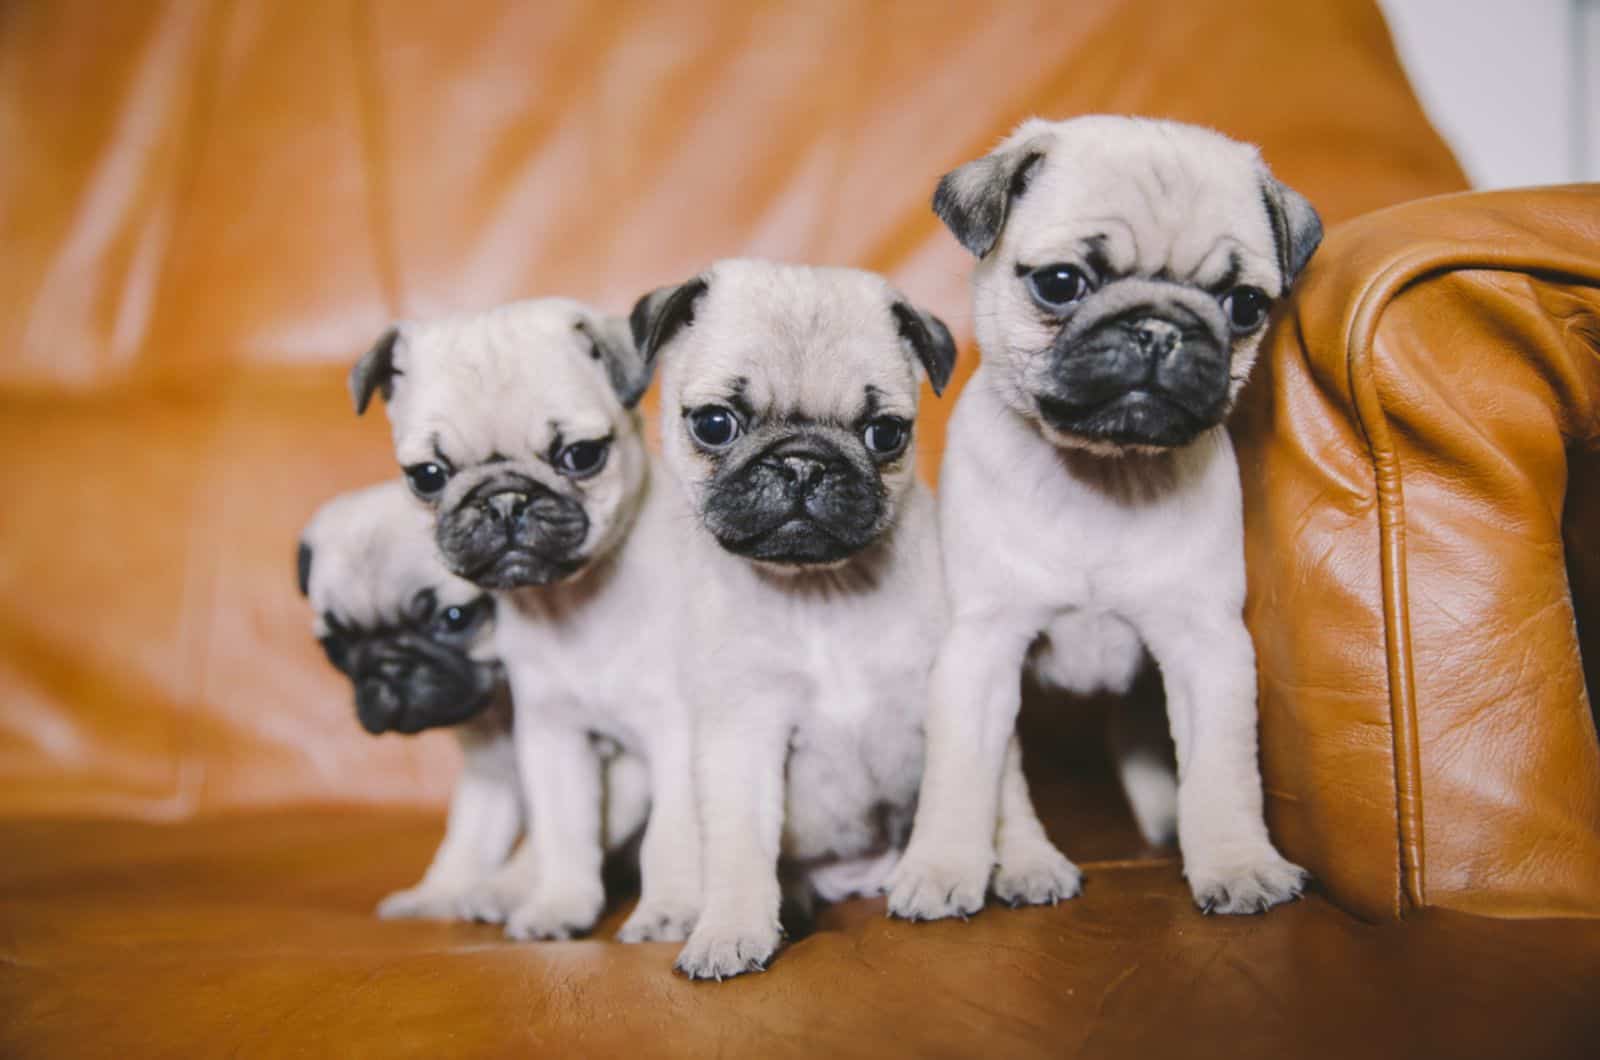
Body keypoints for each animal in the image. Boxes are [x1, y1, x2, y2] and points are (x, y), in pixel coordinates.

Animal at [300, 480, 649, 922]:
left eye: (454, 618)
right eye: (336, 648)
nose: (389, 665)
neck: (505, 701)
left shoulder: (621, 768)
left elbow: (555, 835)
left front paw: (505, 889)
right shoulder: (491, 777)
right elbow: (468, 842)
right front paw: (437, 893)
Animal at [350, 299, 700, 947]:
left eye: (581, 456)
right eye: (428, 476)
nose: (504, 499)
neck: (574, 604)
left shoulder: (678, 732)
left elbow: (674, 833)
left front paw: (670, 909)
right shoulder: (554, 737)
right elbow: (565, 831)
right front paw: (561, 904)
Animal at [627, 256, 985, 979]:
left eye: (886, 433)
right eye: (715, 424)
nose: (802, 461)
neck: (821, 592)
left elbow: (983, 781)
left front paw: (1002, 864)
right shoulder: (742, 730)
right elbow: (738, 843)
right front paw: (730, 929)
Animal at [889, 114, 1324, 922]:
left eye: (1244, 305)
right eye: (1061, 283)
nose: (1159, 329)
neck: (1103, 472)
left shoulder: (1206, 648)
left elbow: (1222, 770)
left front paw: (1238, 863)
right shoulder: (983, 648)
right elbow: (965, 775)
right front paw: (941, 867)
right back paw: (1028, 864)